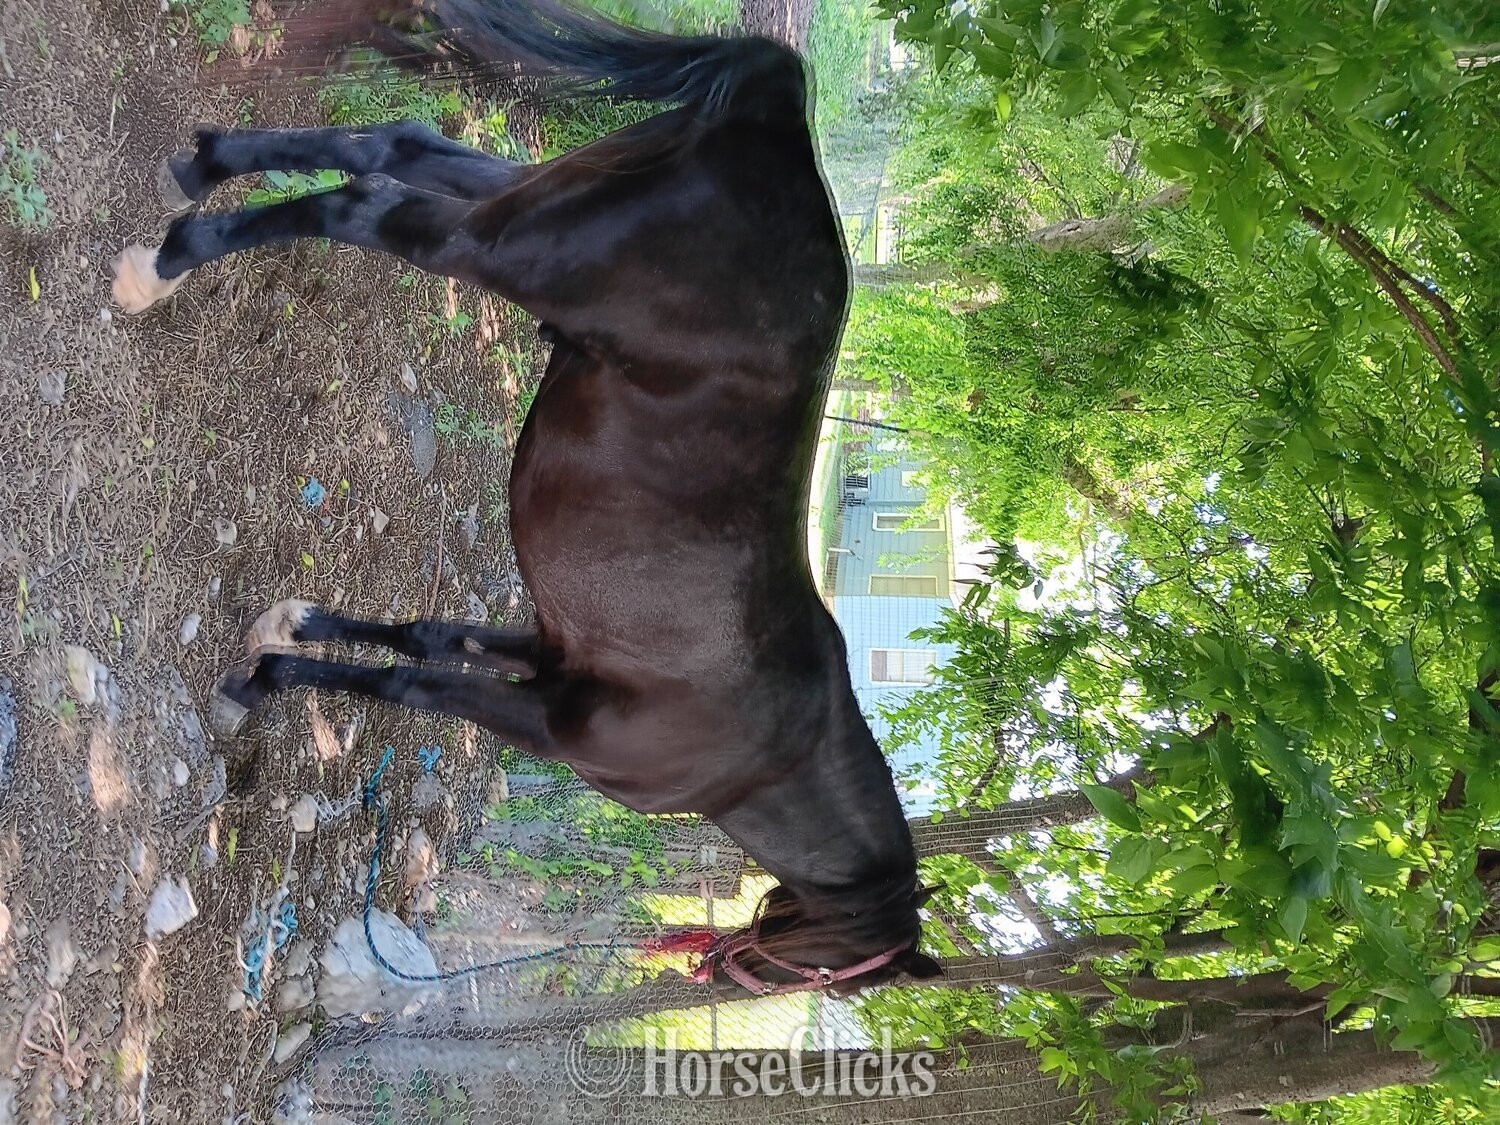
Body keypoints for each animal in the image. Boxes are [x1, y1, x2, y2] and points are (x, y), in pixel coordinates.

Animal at [112, 0, 941, 997]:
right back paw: (161, 266)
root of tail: (777, 116)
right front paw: (267, 676)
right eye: (836, 974)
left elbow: (422, 638)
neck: (770, 750)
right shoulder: (543, 723)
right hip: (493, 246)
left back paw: (201, 169)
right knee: (362, 206)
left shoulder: (544, 651)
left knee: (392, 144)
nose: (715, 970)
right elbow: (407, 684)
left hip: (520, 192)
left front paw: (293, 629)